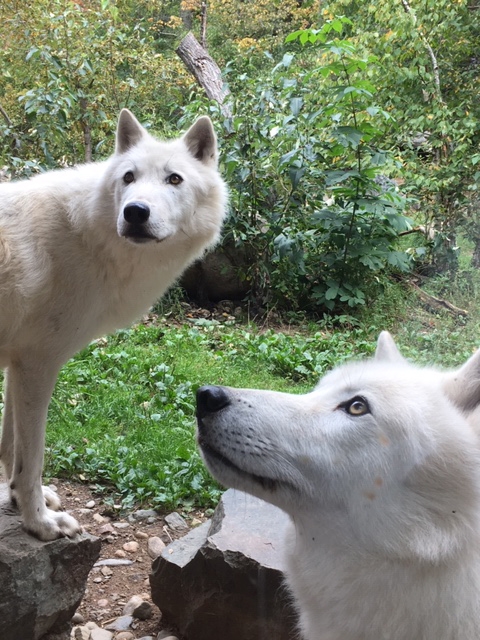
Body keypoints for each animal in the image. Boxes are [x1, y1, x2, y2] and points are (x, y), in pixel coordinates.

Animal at [0, 109, 228, 540]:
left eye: (174, 179)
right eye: (129, 177)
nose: (136, 211)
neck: (87, 235)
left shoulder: (18, 364)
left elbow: (9, 447)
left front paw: (15, 500)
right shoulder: (38, 365)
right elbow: (31, 457)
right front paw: (40, 522)